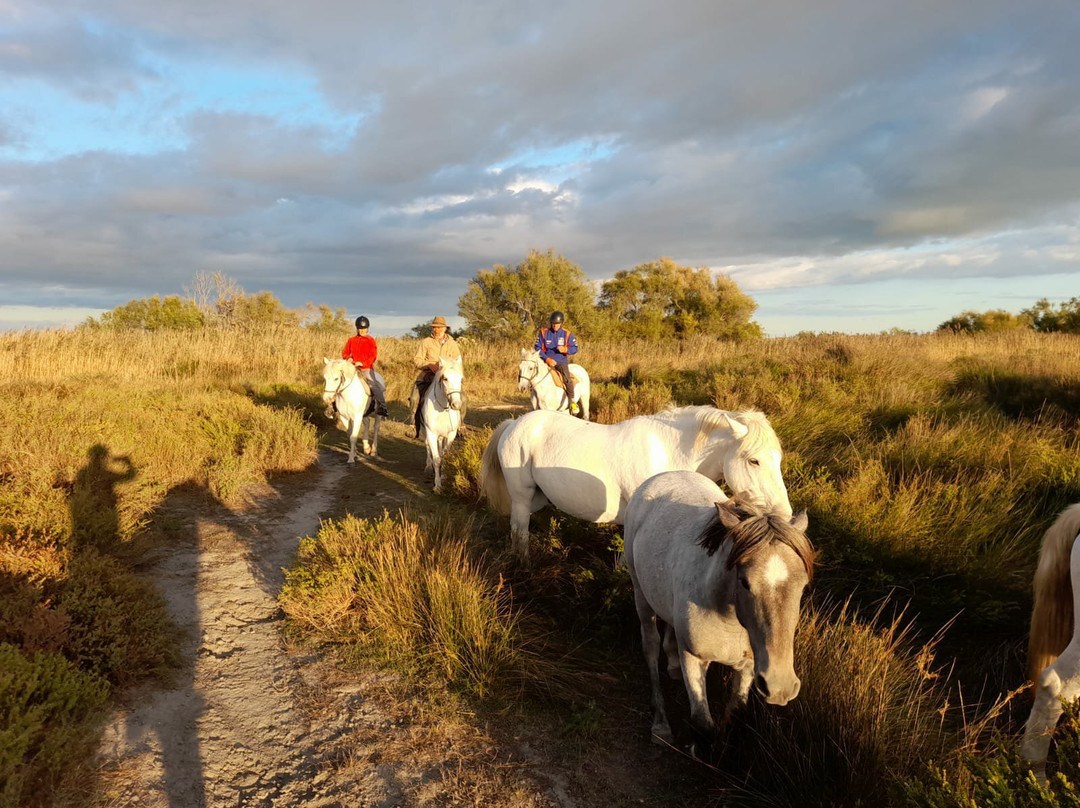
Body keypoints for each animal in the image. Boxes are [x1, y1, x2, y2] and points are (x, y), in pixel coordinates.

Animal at [419, 358, 462, 492]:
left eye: (461, 379)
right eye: (445, 378)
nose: (456, 404)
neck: (443, 408)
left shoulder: (451, 434)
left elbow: (444, 455)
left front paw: (444, 475)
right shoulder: (431, 433)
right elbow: (437, 458)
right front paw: (437, 485)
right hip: (425, 432)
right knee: (427, 445)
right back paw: (428, 466)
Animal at [481, 406, 794, 566]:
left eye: (778, 459)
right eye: (754, 461)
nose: (785, 515)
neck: (669, 452)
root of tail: (514, 423)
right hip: (521, 497)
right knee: (519, 530)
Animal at [626, 470, 812, 756]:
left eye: (802, 585)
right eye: (745, 582)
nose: (779, 685)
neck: (727, 616)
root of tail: (664, 475)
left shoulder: (749, 666)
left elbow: (734, 717)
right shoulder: (694, 658)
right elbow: (703, 725)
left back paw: (672, 663)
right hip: (640, 593)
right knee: (651, 647)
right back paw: (660, 723)